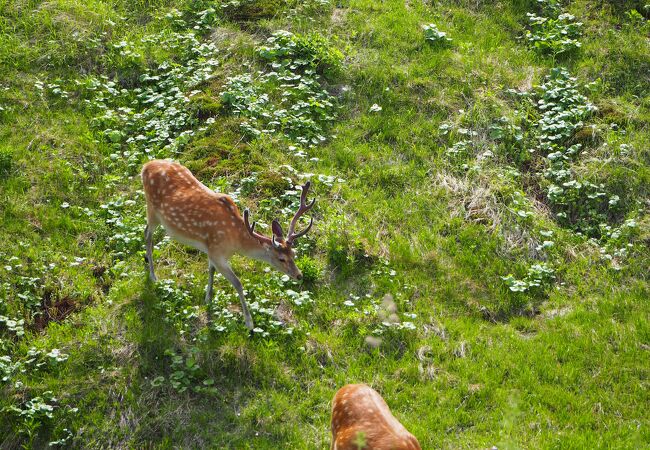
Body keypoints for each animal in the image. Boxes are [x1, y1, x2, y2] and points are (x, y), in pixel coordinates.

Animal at [140, 160, 316, 328]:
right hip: (152, 209)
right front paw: (249, 322)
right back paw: (153, 275)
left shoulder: (212, 250)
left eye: (293, 253)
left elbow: (211, 270)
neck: (235, 242)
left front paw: (208, 298)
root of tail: (146, 166)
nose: (299, 275)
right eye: (281, 259)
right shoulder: (217, 252)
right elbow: (238, 283)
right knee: (147, 234)